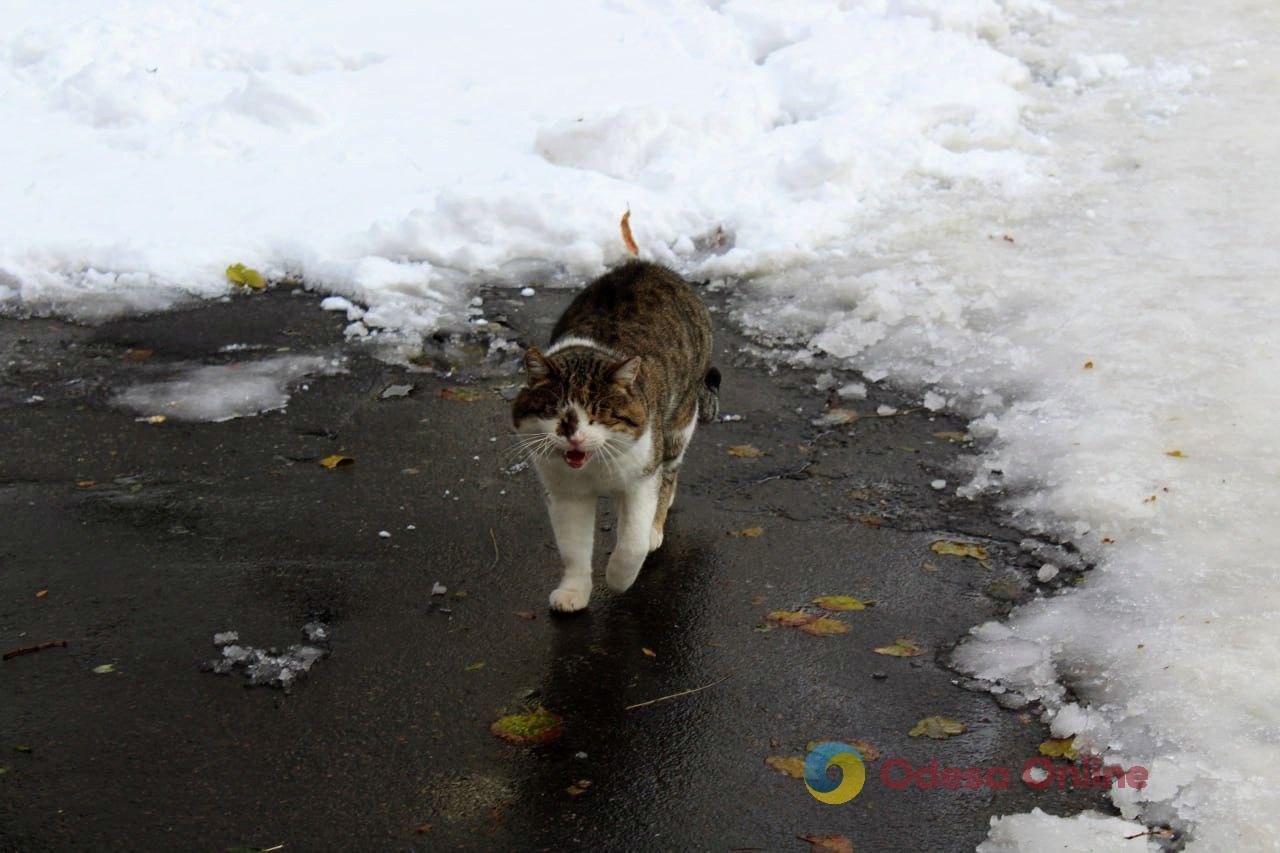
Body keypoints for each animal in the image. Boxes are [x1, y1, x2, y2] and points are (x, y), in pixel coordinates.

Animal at [514, 261, 727, 612]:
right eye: (554, 410)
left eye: (600, 412)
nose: (574, 437)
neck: (593, 469)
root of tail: (652, 266)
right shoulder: (566, 494)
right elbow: (573, 548)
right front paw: (573, 593)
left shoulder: (641, 477)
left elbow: (632, 543)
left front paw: (618, 579)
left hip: (677, 424)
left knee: (669, 473)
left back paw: (656, 524)